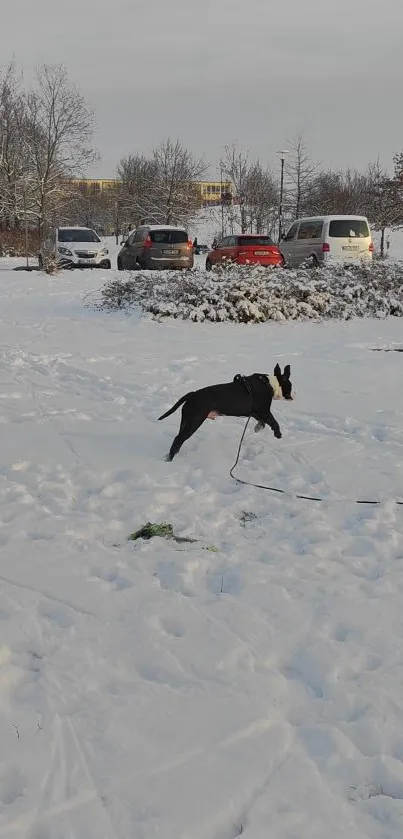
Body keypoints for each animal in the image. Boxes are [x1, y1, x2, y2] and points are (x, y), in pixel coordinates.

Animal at [158, 364, 294, 462]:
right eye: (291, 386)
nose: (294, 395)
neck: (271, 384)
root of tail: (192, 394)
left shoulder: (256, 412)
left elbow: (263, 421)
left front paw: (259, 427)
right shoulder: (265, 411)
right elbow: (274, 422)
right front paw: (278, 434)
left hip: (186, 420)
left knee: (178, 438)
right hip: (194, 421)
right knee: (178, 439)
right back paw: (169, 460)